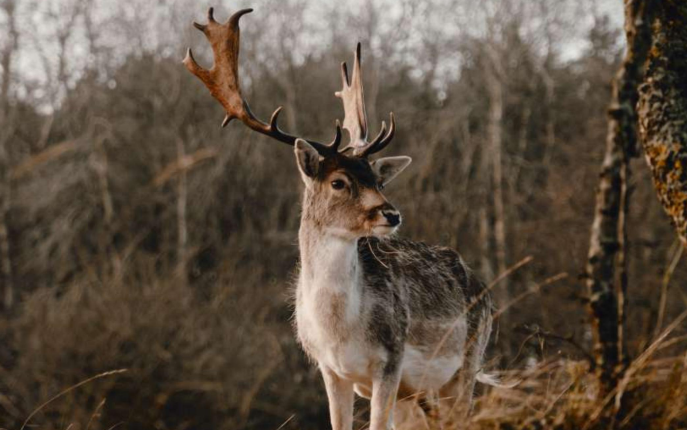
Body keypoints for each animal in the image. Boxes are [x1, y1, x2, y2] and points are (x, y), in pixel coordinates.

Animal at [185, 7, 498, 430]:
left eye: (376, 179)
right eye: (339, 181)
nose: (391, 214)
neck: (340, 332)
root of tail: (485, 288)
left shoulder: (391, 361)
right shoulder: (331, 370)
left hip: (466, 363)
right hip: (421, 393)